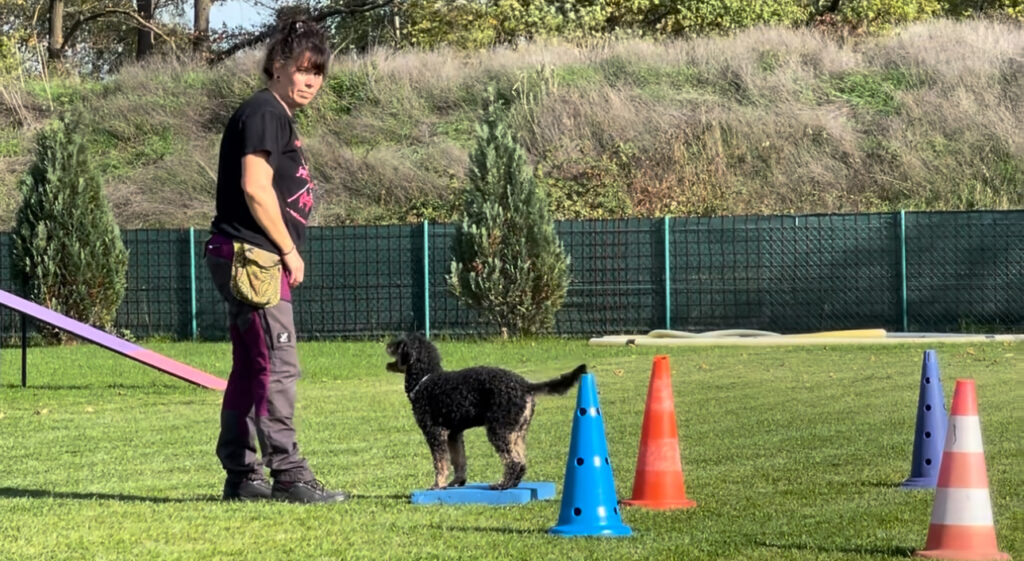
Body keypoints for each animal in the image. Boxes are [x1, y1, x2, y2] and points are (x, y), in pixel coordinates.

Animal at [387, 333, 589, 491]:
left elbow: (440, 462)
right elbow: (459, 460)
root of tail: (525, 385)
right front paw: (457, 482)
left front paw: (438, 485)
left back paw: (502, 485)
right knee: (521, 461)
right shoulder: (454, 434)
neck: (425, 379)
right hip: (517, 432)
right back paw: (512, 484)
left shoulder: (435, 433)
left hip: (498, 430)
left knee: (513, 461)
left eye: (399, 344)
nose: (387, 344)